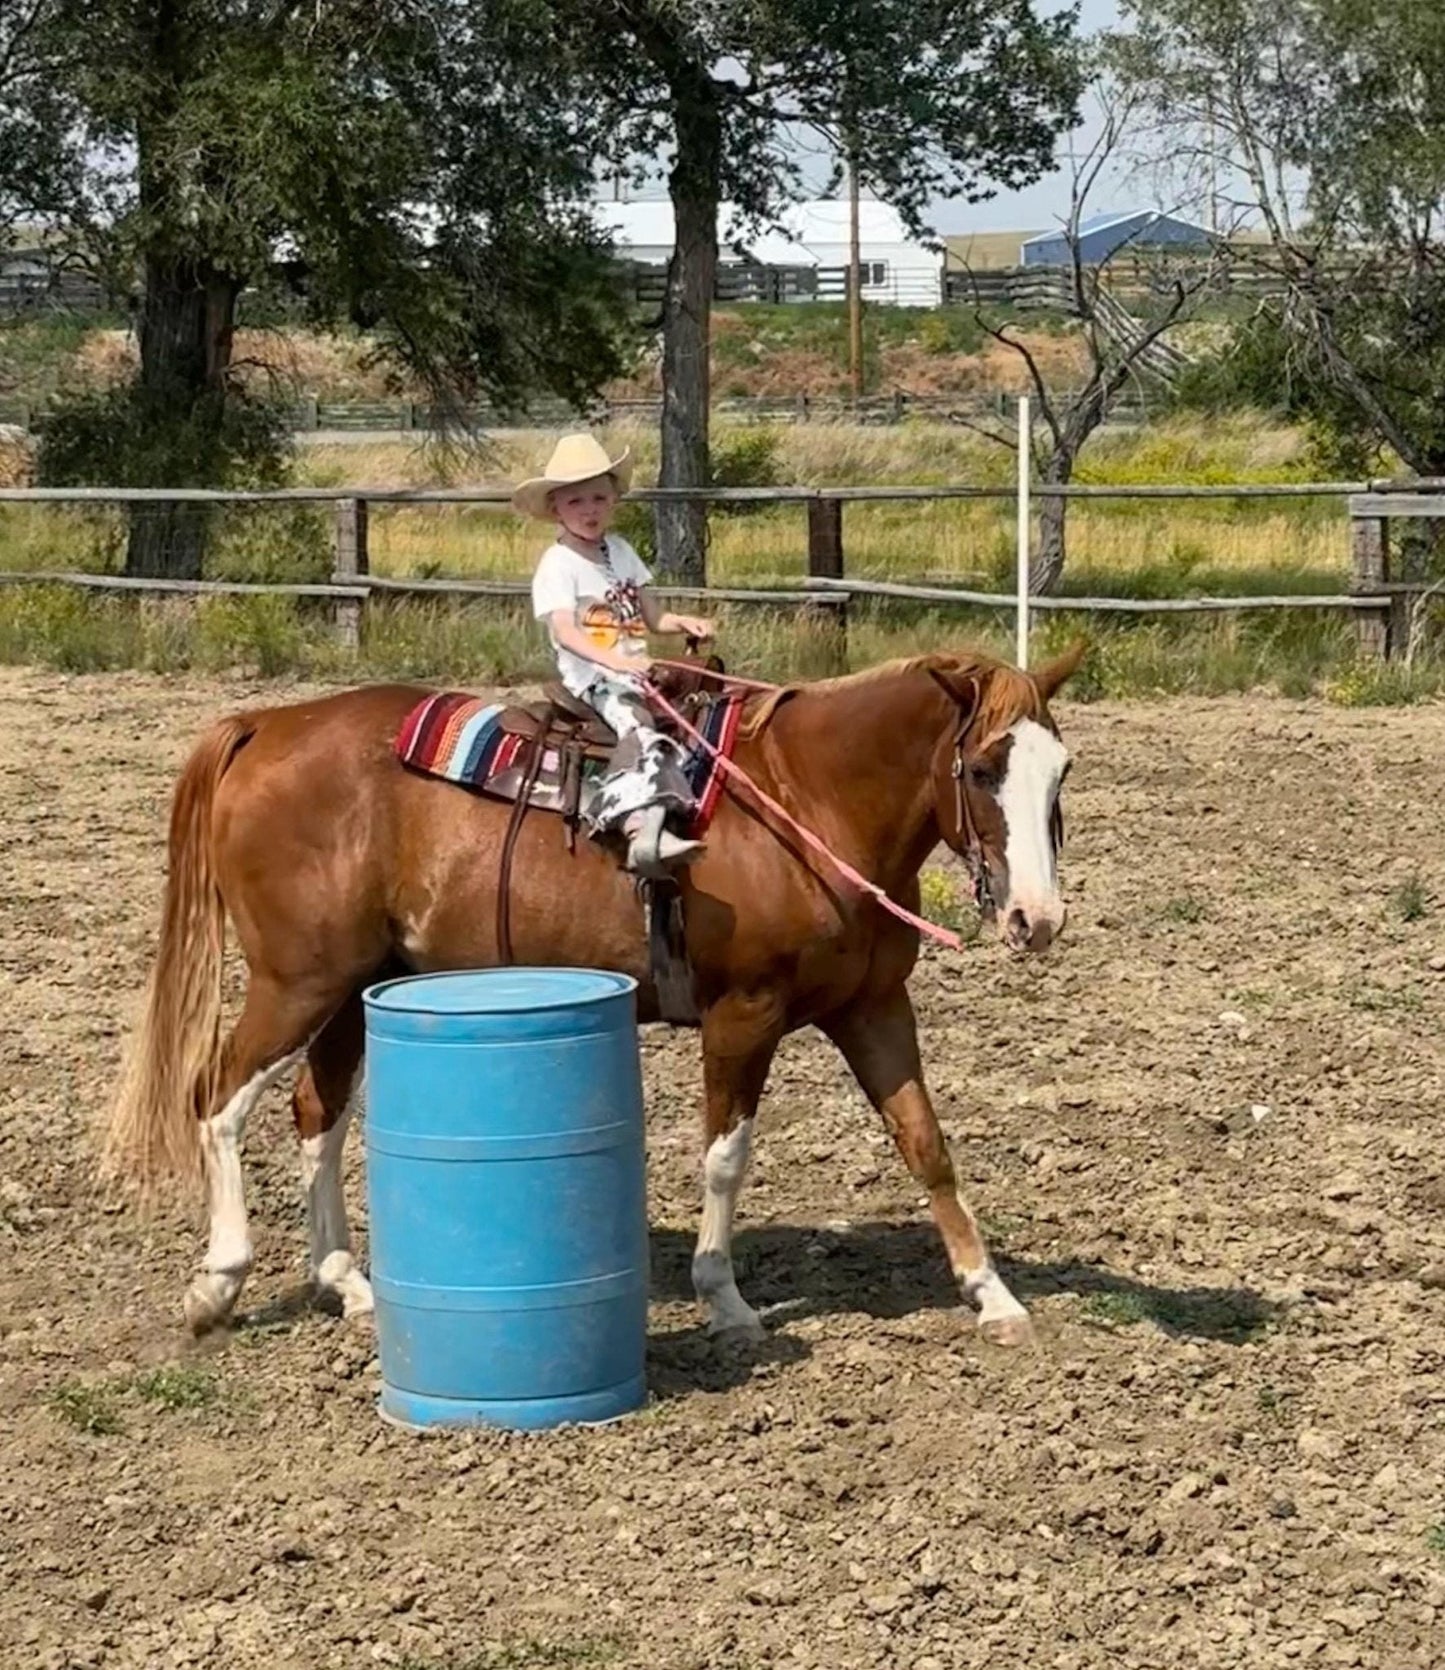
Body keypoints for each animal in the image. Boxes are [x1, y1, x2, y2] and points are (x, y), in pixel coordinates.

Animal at [106, 644, 1082, 1349]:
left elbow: (926, 1144)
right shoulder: (744, 1013)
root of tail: (264, 723)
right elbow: (725, 1157)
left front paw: (991, 1295)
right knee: (218, 1101)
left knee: (320, 1113)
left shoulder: (873, 1009)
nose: (1035, 918)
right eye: (983, 767)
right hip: (294, 984)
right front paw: (725, 1301)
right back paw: (217, 1283)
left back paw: (345, 1280)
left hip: (350, 988)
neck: (807, 802)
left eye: (1060, 770)